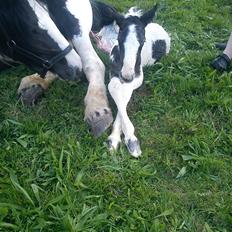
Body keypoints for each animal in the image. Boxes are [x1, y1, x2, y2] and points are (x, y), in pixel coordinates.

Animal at [92, 5, 170, 156]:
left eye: (143, 41)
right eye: (119, 39)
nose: (127, 76)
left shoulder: (137, 77)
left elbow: (123, 93)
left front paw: (129, 140)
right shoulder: (114, 73)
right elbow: (115, 88)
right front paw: (116, 139)